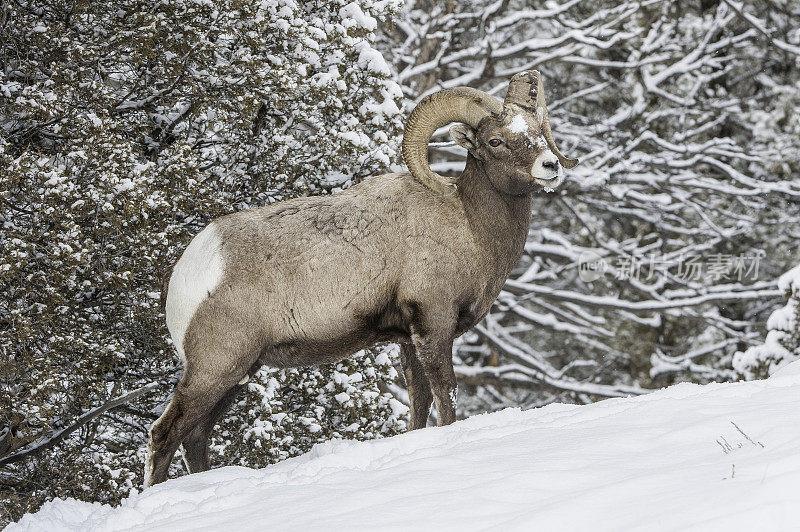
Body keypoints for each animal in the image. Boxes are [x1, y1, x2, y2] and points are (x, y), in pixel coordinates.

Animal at [145, 70, 576, 486]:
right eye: (495, 141)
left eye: (537, 131)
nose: (550, 167)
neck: (467, 223)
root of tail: (186, 270)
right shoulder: (435, 323)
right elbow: (445, 395)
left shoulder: (410, 339)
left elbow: (419, 403)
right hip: (216, 368)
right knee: (166, 434)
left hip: (237, 374)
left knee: (195, 438)